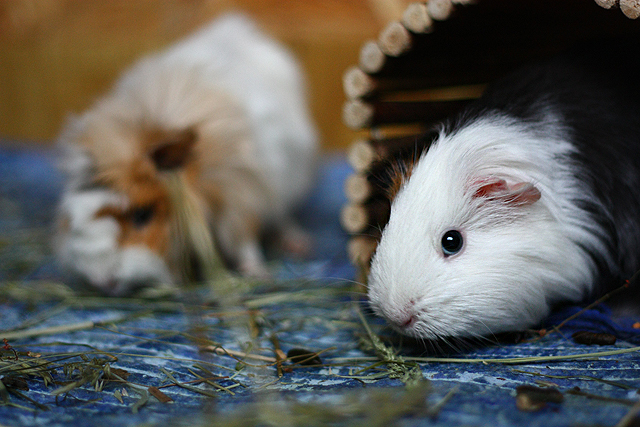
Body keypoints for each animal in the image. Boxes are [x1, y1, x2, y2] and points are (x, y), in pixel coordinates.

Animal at [54, 14, 318, 295]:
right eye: (73, 219)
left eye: (142, 215)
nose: (101, 280)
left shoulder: (242, 203)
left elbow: (245, 242)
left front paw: (259, 274)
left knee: (283, 218)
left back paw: (298, 245)